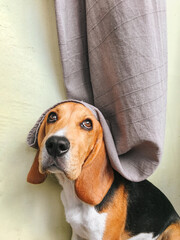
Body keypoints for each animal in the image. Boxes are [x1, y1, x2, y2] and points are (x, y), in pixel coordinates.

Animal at [27, 101, 180, 240]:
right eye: (52, 116)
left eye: (87, 124)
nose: (56, 145)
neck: (72, 191)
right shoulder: (77, 233)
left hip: (172, 232)